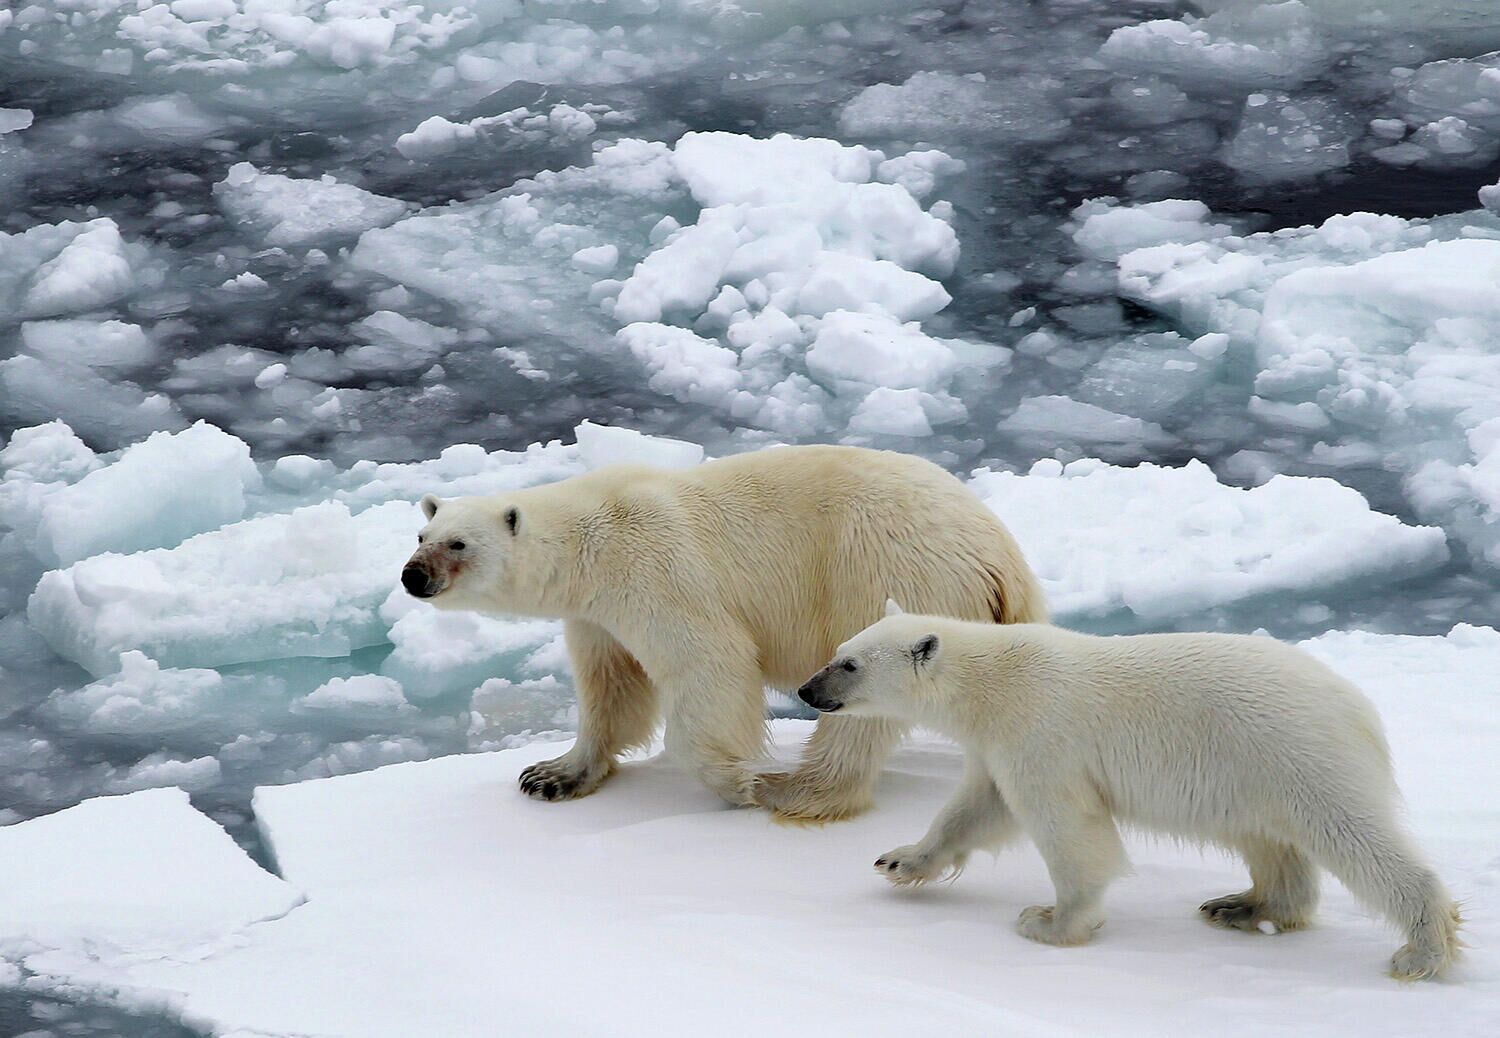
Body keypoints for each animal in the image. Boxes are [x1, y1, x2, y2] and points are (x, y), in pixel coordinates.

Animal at [405, 444, 1050, 822]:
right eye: (421, 535)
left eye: (458, 543)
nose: (414, 576)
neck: (591, 537)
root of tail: (1001, 559)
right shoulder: (596, 614)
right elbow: (611, 687)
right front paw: (551, 775)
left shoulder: (657, 569)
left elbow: (710, 666)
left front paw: (740, 781)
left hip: (887, 575)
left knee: (862, 700)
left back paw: (795, 789)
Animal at [804, 603, 1458, 978]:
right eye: (837, 651)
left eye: (850, 665)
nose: (809, 690)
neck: (990, 681)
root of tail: (1359, 709)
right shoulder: (998, 746)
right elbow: (975, 809)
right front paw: (900, 860)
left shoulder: (1041, 733)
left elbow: (1068, 829)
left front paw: (1050, 922)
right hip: (1254, 773)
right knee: (1268, 841)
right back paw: (1243, 906)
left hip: (1297, 754)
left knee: (1355, 838)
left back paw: (1421, 951)